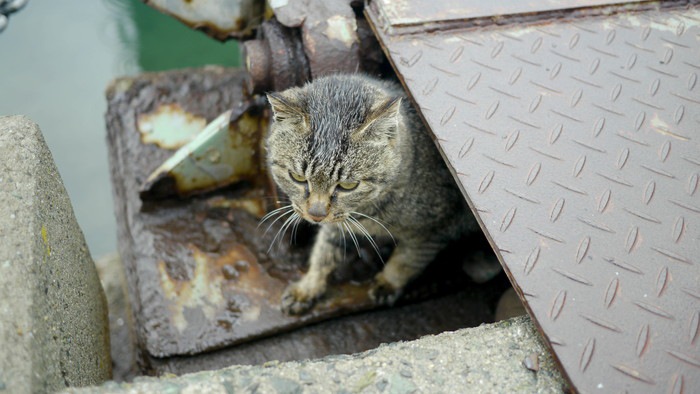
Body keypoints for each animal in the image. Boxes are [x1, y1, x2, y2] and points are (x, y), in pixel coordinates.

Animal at [264, 73, 476, 314]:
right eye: (297, 178)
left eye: (348, 185)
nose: (316, 214)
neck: (367, 212)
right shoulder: (337, 225)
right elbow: (323, 252)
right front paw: (308, 286)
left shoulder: (434, 228)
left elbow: (407, 259)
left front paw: (388, 282)